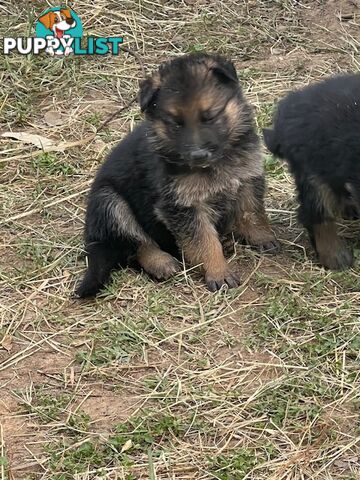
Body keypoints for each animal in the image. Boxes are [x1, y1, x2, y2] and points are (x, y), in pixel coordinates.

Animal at [75, 54, 278, 298]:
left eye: (210, 117)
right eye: (176, 124)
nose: (198, 155)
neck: (216, 164)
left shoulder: (248, 178)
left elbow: (252, 212)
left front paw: (262, 237)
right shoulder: (180, 206)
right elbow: (204, 240)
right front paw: (218, 271)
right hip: (109, 201)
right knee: (137, 243)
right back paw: (161, 262)